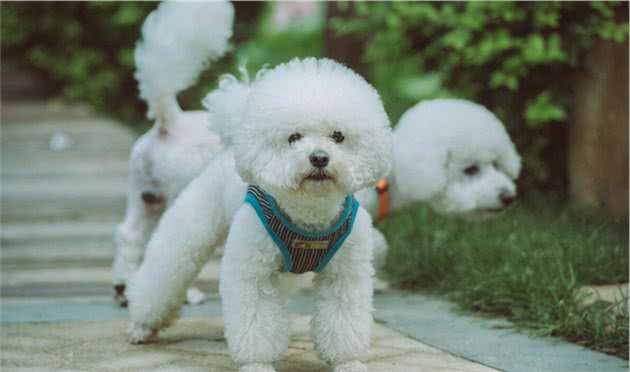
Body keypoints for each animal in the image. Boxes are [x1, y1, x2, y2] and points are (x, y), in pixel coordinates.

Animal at [111, 1, 235, 306]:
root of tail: (170, 123)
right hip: (180, 194)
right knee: (170, 243)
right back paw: (188, 294)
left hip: (145, 196)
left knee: (129, 235)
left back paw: (124, 289)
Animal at [126, 57, 392, 372]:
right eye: (293, 137)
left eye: (338, 136)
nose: (319, 157)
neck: (309, 213)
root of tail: (231, 143)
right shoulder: (253, 272)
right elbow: (256, 321)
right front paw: (258, 364)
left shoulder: (345, 273)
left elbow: (343, 319)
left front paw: (347, 362)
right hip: (192, 226)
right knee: (163, 272)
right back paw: (142, 326)